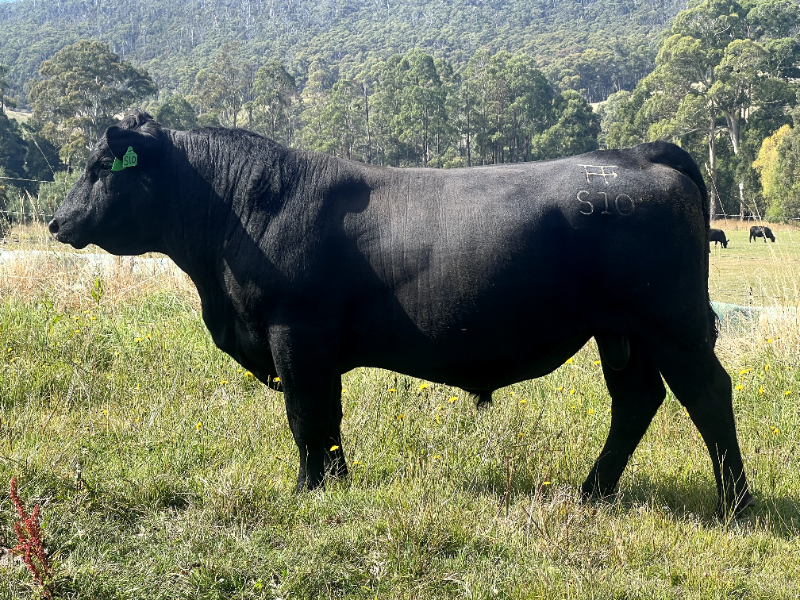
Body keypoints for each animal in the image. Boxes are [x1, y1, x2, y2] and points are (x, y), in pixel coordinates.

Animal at [47, 110, 752, 512]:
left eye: (101, 164)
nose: (56, 221)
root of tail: (635, 153)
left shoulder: (297, 333)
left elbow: (308, 415)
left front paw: (310, 491)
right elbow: (324, 417)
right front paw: (335, 482)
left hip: (673, 323)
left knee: (708, 394)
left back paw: (736, 503)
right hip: (621, 330)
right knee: (636, 399)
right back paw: (593, 493)